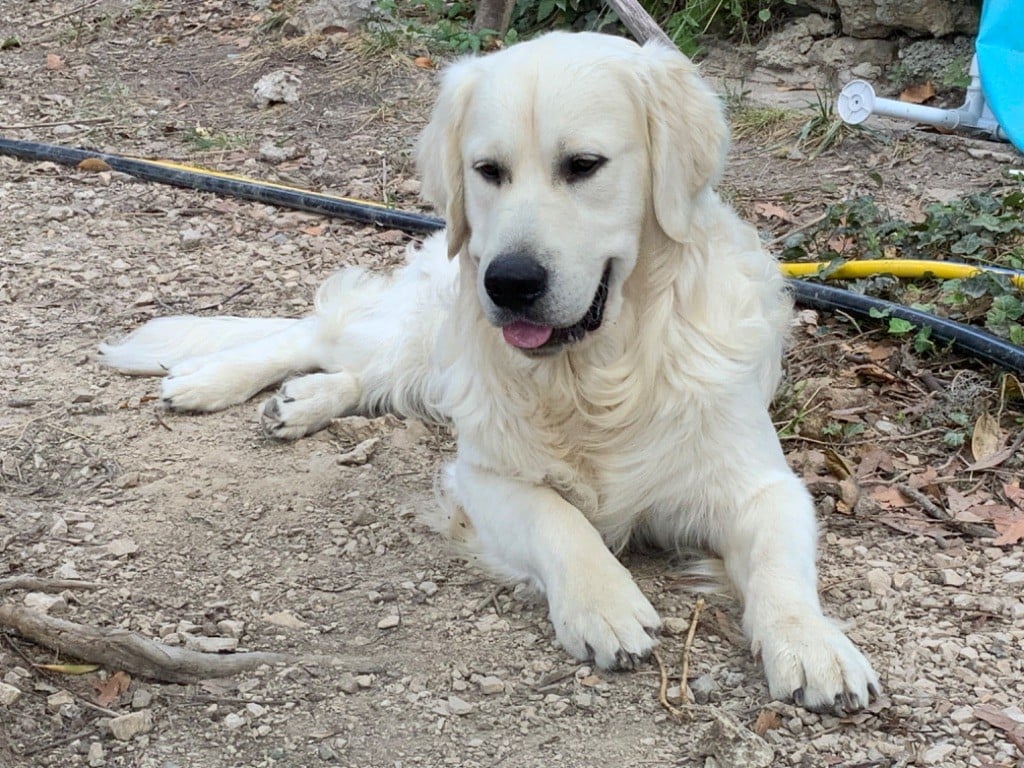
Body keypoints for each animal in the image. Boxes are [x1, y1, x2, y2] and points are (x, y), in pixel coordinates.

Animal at [100, 31, 880, 713]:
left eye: (584, 165)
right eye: (488, 171)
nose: (509, 281)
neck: (598, 373)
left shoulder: (761, 484)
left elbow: (781, 568)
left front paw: (814, 646)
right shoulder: (484, 475)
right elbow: (560, 520)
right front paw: (603, 602)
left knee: (362, 375)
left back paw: (301, 401)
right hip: (422, 329)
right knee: (318, 332)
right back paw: (208, 381)